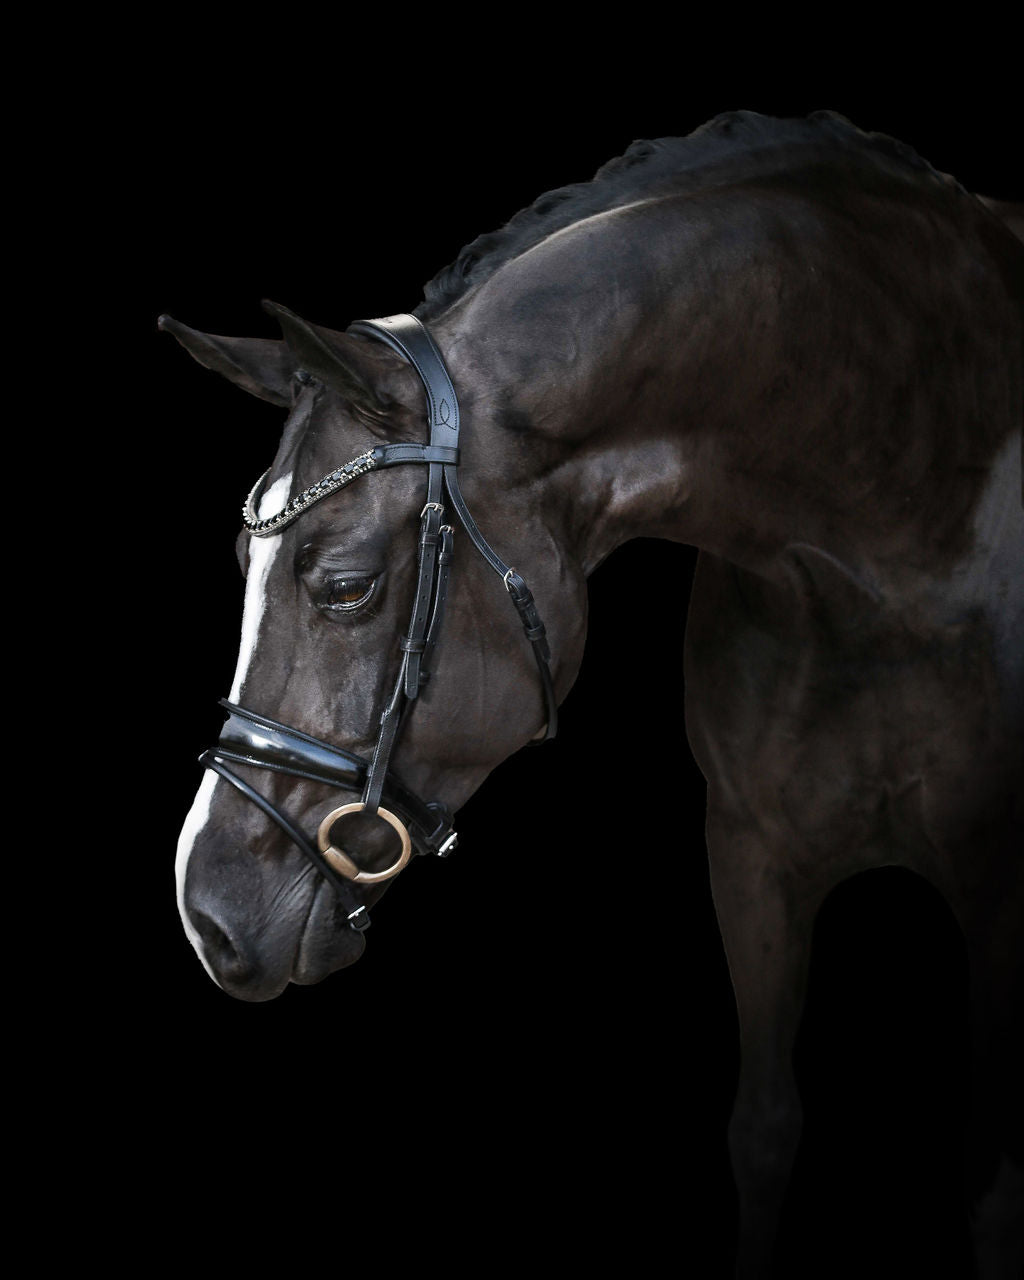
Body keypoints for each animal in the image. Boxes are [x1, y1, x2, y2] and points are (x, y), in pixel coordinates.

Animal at [163, 111, 1023, 1277]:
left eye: (344, 585)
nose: (207, 915)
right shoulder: (750, 855)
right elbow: (763, 1130)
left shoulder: (1000, 889)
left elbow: (994, 1192)